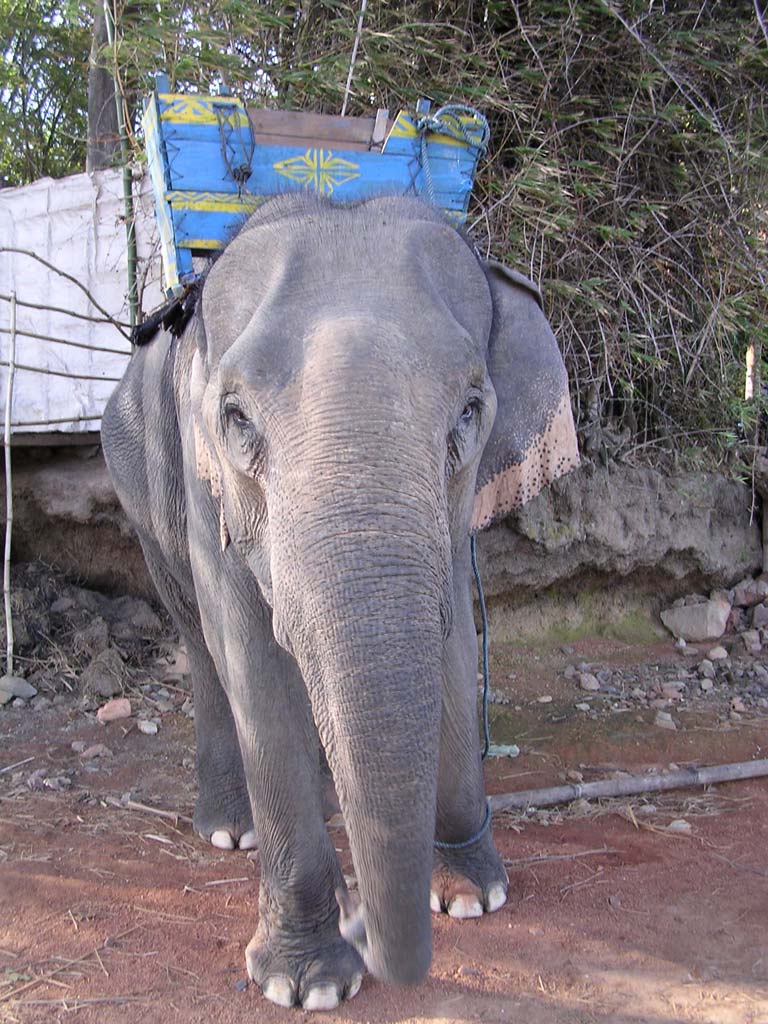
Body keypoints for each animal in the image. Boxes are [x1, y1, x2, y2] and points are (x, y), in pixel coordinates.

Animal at [102, 193, 577, 1015]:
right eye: (236, 416)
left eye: (470, 409)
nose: (379, 943)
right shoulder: (204, 476)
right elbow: (251, 656)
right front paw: (309, 983)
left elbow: (453, 638)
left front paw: (470, 896)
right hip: (138, 484)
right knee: (198, 638)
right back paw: (231, 828)